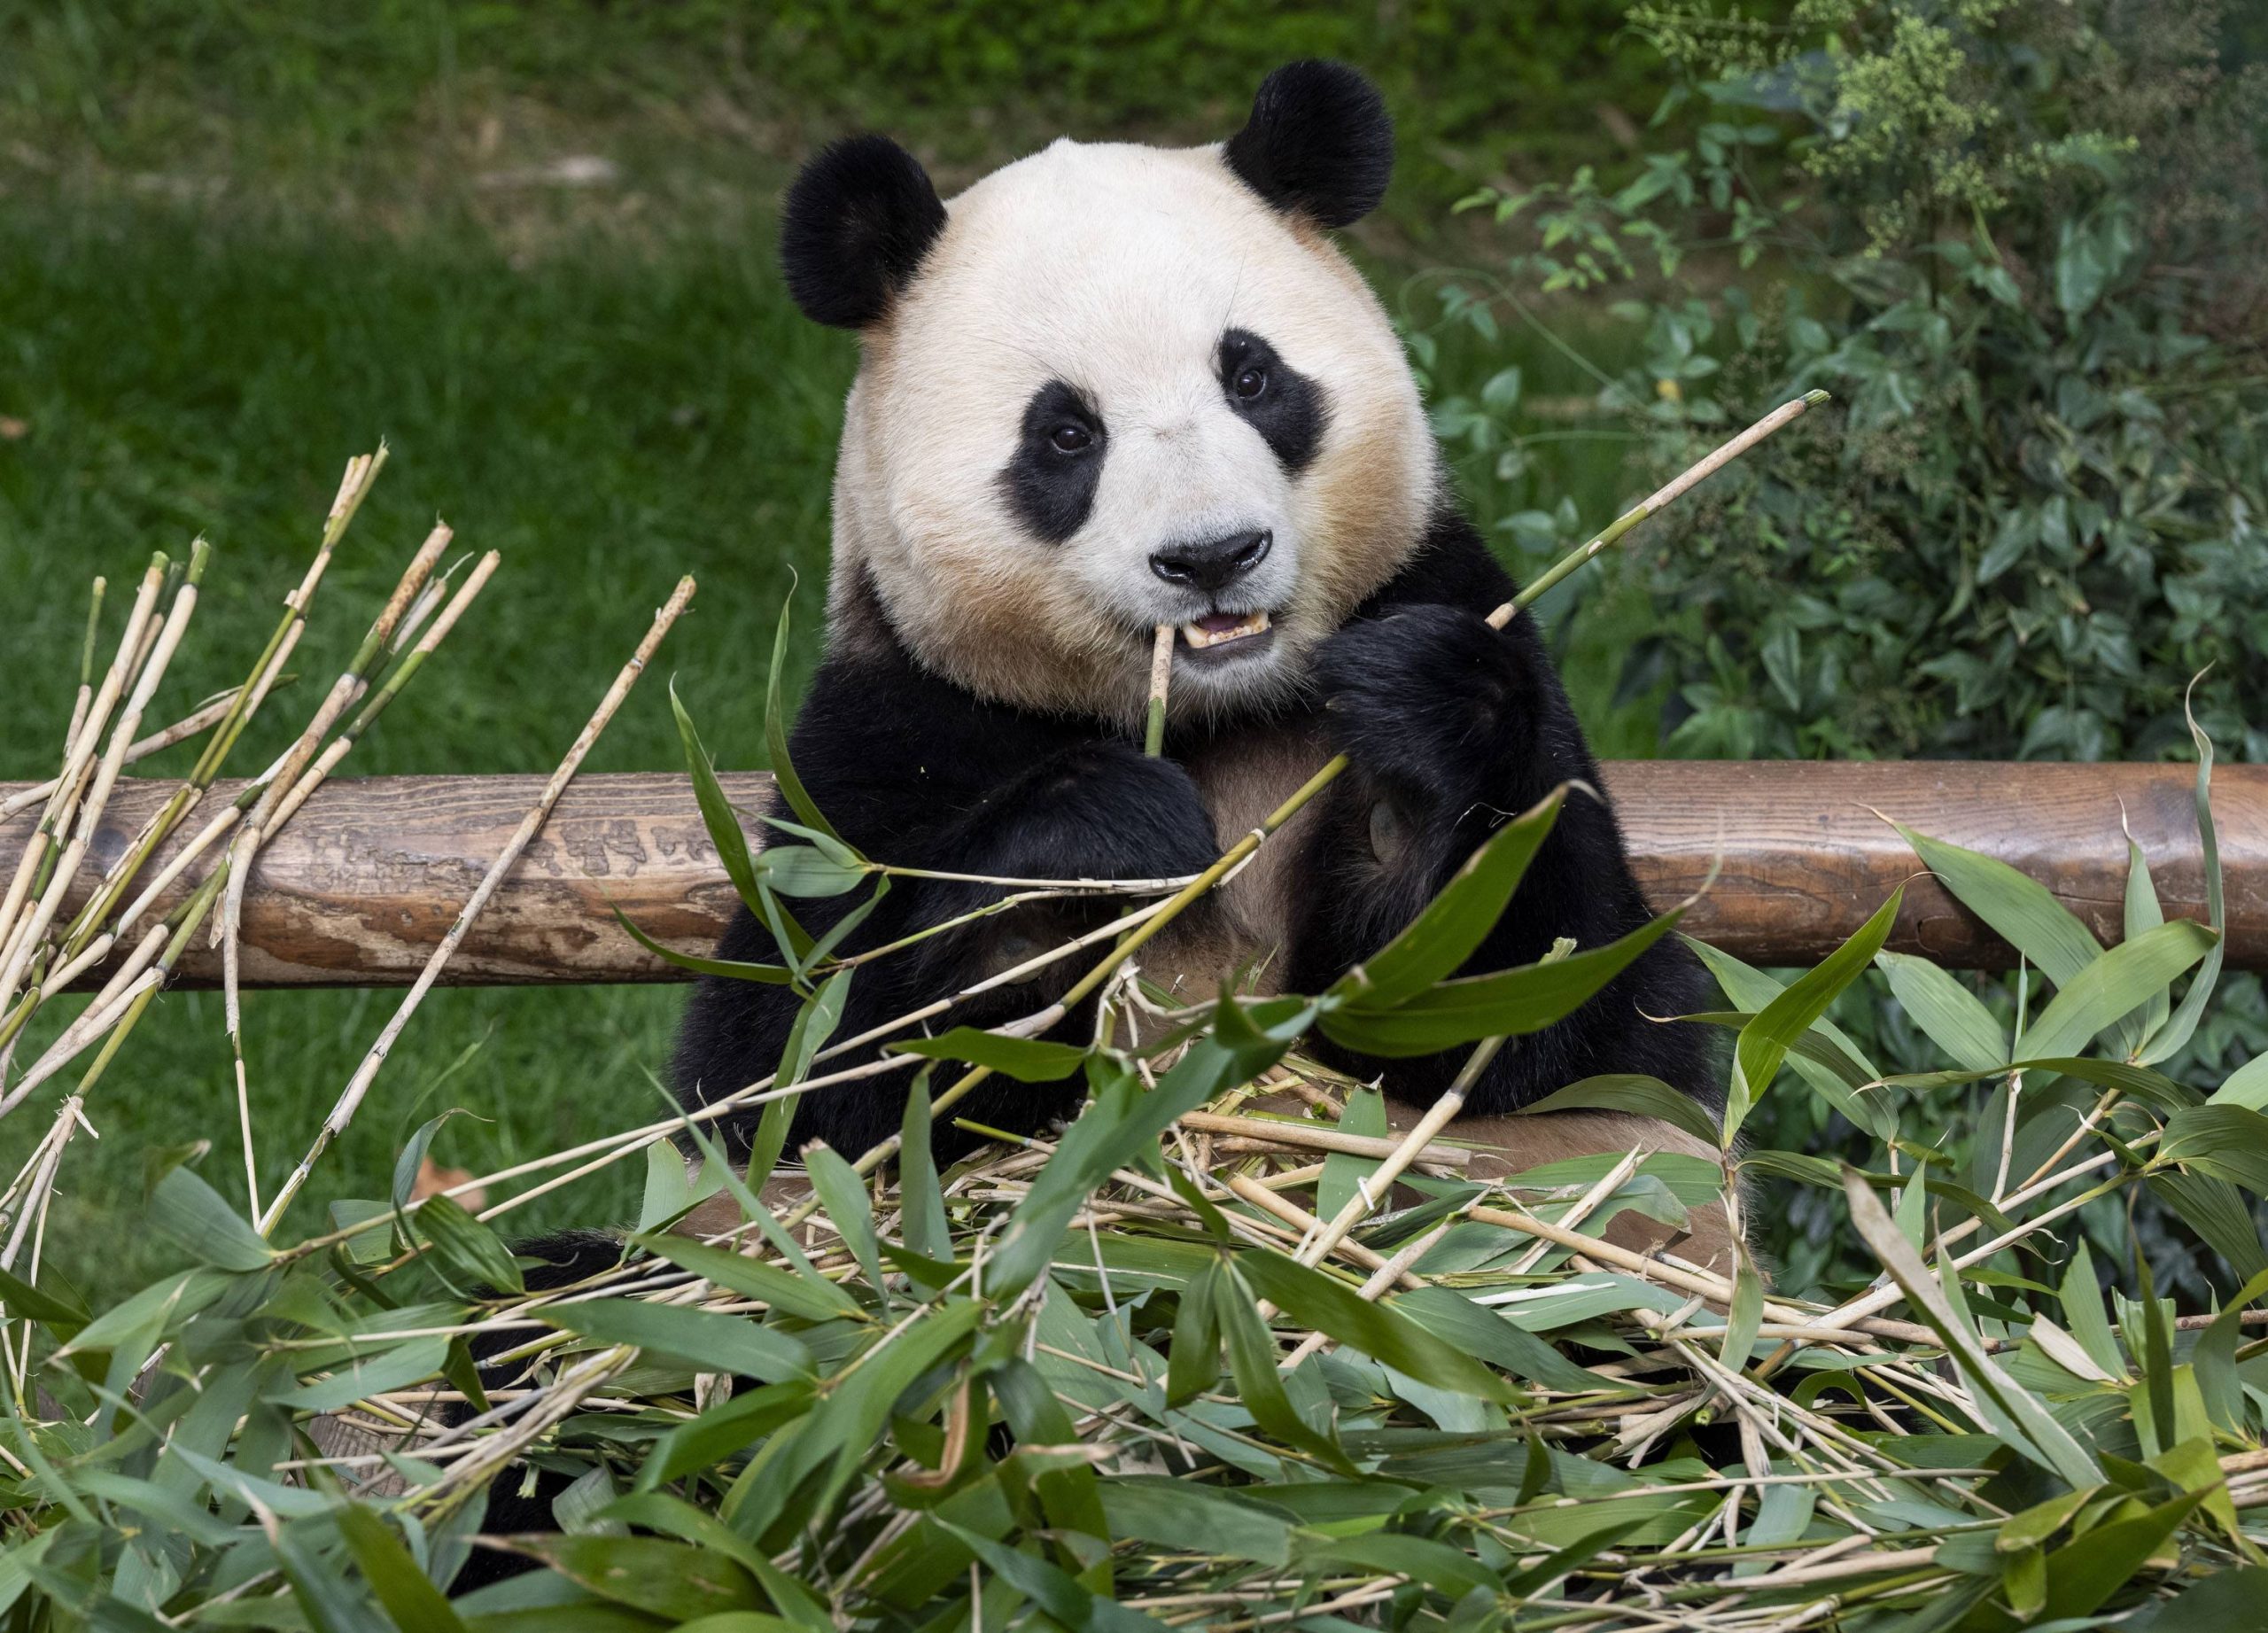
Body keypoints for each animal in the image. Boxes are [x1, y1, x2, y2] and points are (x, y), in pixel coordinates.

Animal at [662, 60, 1723, 1233]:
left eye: (1251, 379)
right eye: (1065, 434)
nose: (1213, 554)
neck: (1220, 714)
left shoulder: (1451, 596)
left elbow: (1564, 1016)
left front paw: (1423, 717)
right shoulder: (894, 729)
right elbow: (796, 1074)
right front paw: (1100, 834)